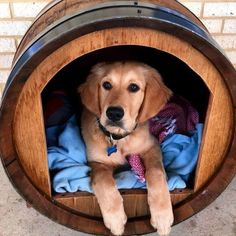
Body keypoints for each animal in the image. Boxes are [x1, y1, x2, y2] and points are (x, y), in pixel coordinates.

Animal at [79, 61, 173, 236]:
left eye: (134, 87)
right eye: (107, 85)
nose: (114, 113)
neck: (119, 139)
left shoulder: (152, 146)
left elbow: (155, 172)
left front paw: (162, 216)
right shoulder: (97, 162)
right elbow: (104, 181)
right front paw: (115, 219)